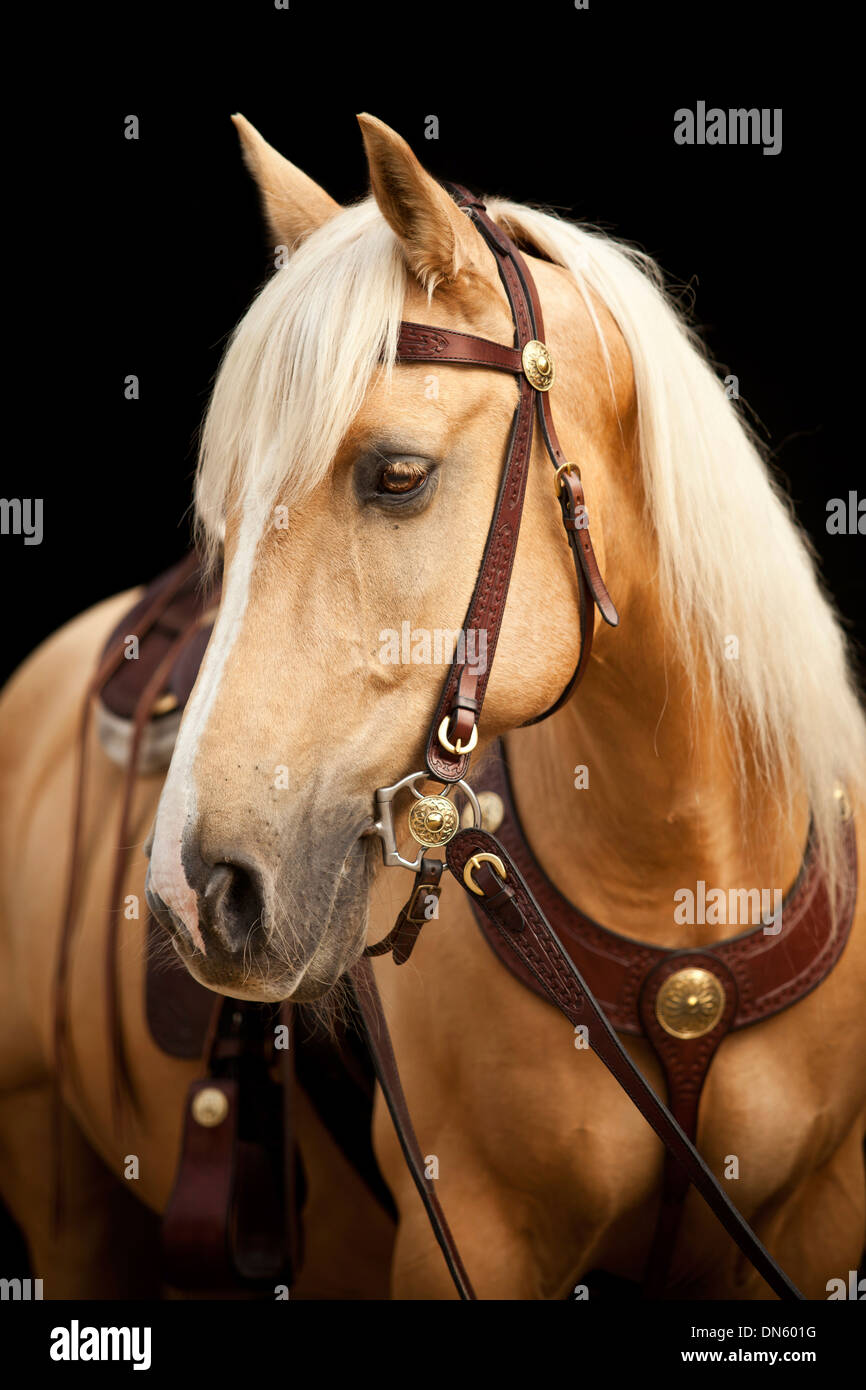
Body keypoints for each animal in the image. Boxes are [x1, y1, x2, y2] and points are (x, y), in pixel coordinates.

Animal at [1, 113, 866, 1295]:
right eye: (225, 519)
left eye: (398, 476)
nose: (192, 892)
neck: (681, 900)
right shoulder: (480, 1235)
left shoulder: (817, 1220)